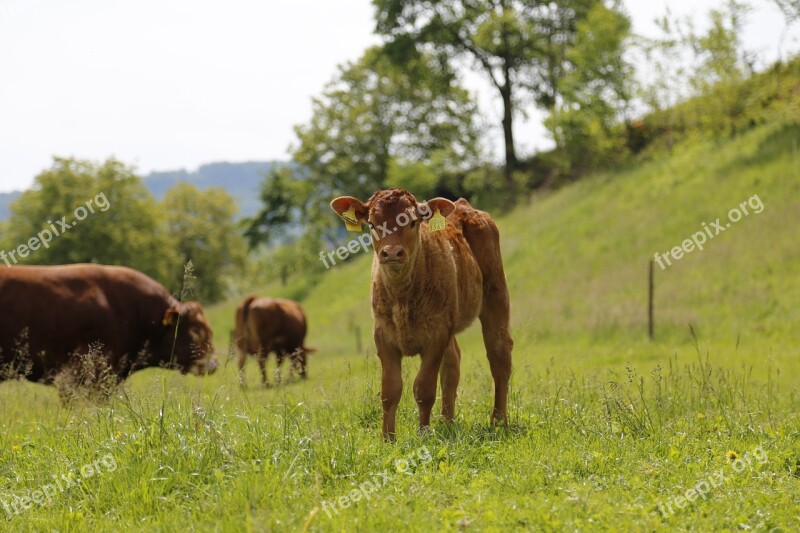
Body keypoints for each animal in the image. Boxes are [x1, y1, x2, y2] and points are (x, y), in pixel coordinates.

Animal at [330, 189, 512, 438]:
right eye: (372, 224)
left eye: (412, 222)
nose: (392, 252)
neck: (402, 297)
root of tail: (463, 206)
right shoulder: (383, 335)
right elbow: (390, 390)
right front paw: (388, 438)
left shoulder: (436, 335)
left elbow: (424, 388)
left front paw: (424, 433)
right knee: (453, 364)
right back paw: (447, 422)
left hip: (496, 293)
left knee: (499, 354)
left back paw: (499, 420)